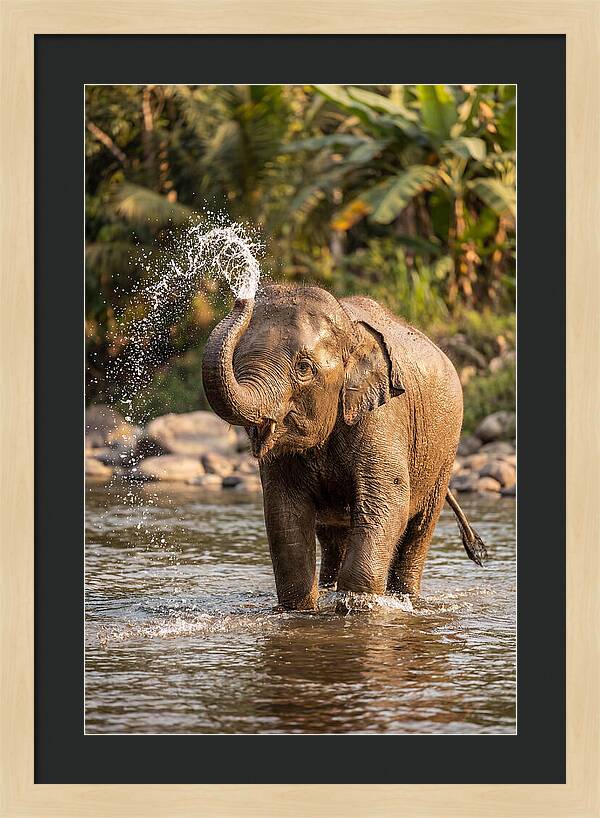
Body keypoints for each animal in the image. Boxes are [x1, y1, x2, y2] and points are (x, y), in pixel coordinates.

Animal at [202, 284, 487, 610]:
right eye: (237, 361)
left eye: (304, 368)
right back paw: (329, 588)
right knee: (332, 534)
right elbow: (284, 513)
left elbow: (387, 501)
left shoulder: (383, 417)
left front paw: (357, 606)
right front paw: (302, 609)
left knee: (419, 528)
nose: (242, 298)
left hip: (445, 451)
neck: (351, 331)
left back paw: (406, 598)